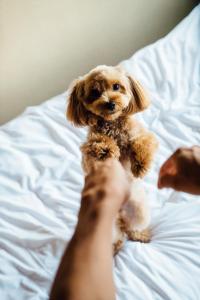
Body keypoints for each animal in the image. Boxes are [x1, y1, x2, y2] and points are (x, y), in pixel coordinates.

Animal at [67, 65, 158, 253]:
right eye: (94, 93)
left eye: (116, 86)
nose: (110, 103)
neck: (113, 124)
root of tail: (121, 218)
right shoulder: (87, 153)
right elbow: (96, 142)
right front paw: (106, 148)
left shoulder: (143, 135)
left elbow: (142, 142)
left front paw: (140, 165)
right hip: (107, 227)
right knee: (119, 236)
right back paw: (115, 247)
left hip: (140, 212)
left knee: (132, 229)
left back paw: (140, 235)